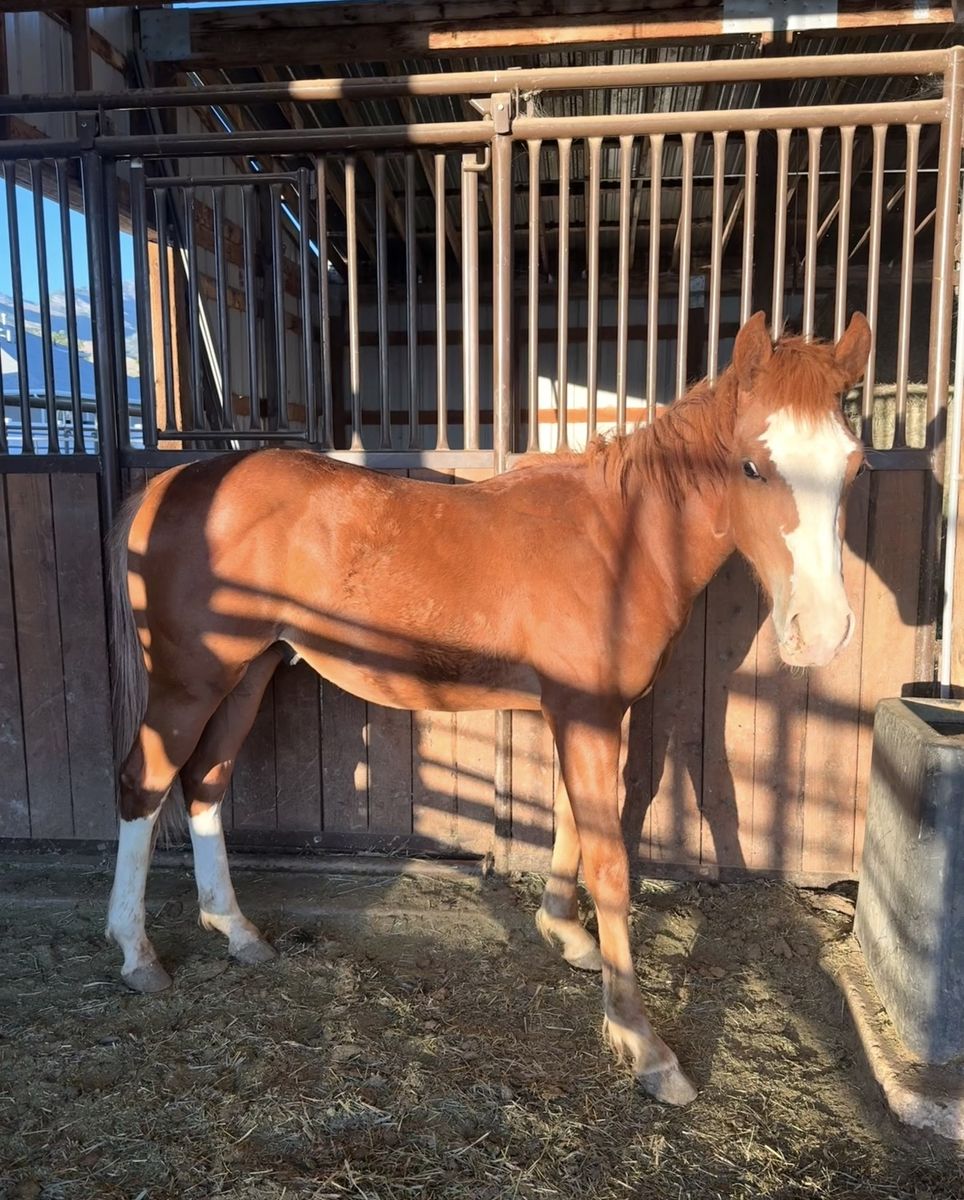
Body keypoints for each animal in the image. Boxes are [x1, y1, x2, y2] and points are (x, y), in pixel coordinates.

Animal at [105, 310, 871, 1107]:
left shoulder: (591, 714)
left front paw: (566, 934)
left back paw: (236, 929)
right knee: (144, 785)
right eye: (752, 466)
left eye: (854, 468)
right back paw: (138, 954)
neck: (621, 542)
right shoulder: (587, 715)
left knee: (205, 786)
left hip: (249, 673)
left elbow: (572, 819)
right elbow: (611, 863)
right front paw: (642, 1041)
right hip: (191, 681)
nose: (822, 632)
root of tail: (171, 482)